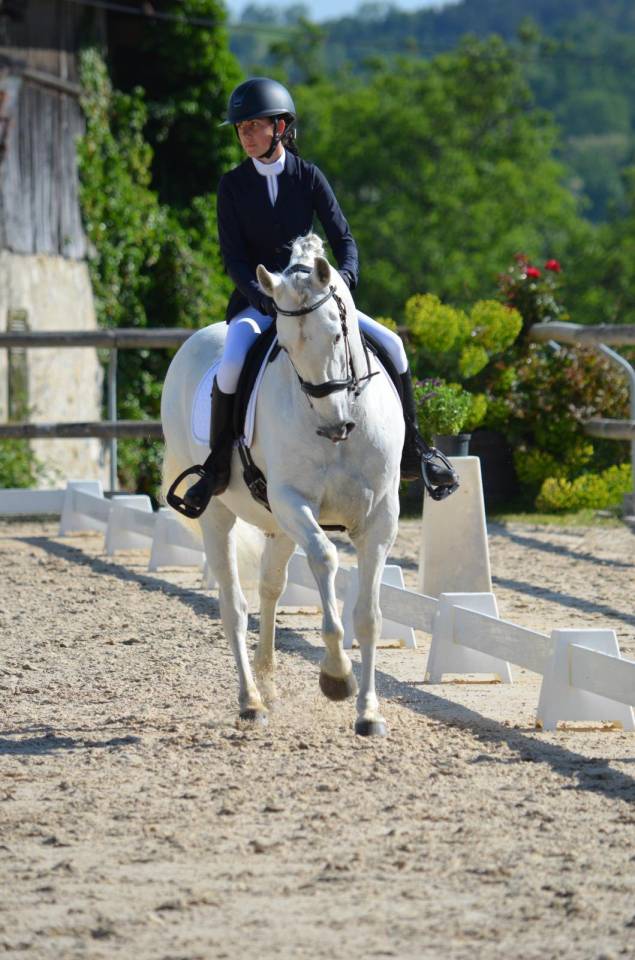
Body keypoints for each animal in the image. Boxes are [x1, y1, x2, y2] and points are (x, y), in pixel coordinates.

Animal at [161, 234, 403, 736]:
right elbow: (326, 560)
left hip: (277, 526)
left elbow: (369, 617)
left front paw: (369, 713)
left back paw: (267, 682)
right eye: (285, 348)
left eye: (338, 334)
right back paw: (251, 701)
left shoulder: (380, 517)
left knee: (270, 587)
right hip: (221, 515)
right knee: (233, 606)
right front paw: (336, 676)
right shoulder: (293, 503)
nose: (334, 426)